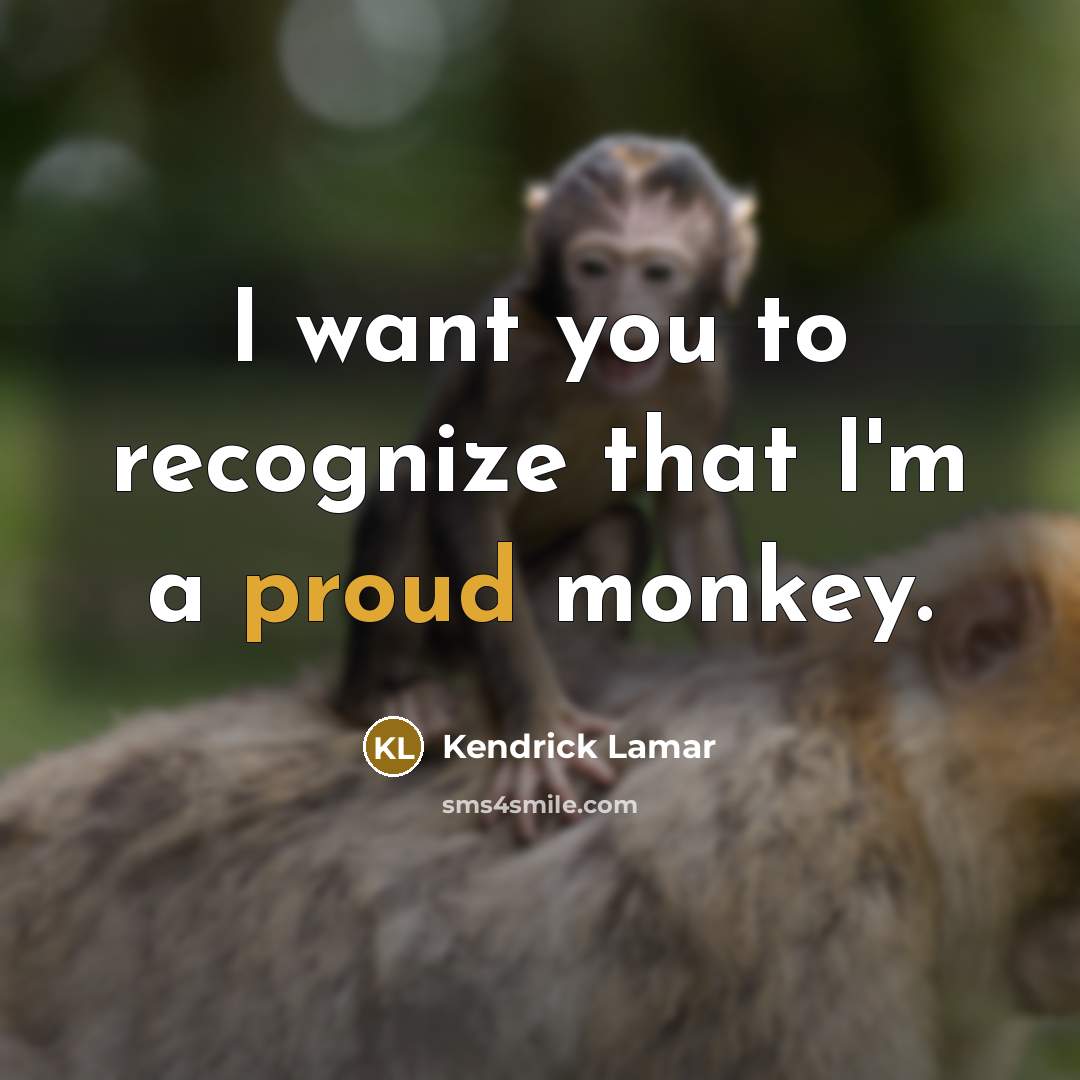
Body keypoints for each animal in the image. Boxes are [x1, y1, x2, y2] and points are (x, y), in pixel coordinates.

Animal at [337, 135, 759, 832]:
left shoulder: (706, 376)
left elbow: (693, 520)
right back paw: (391, 694)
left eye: (656, 274)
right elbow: (468, 504)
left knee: (616, 532)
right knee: (410, 498)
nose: (624, 317)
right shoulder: (511, 354)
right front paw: (538, 732)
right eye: (594, 268)